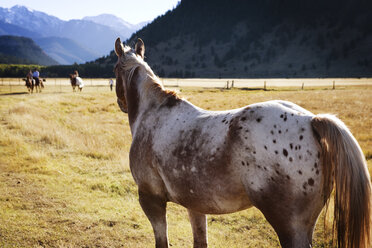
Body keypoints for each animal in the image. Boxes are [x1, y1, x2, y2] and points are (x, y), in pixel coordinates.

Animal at [113, 37, 370, 248]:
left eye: (114, 69)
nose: (121, 104)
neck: (153, 113)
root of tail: (310, 121)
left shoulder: (151, 200)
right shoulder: (195, 205)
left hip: (290, 227)